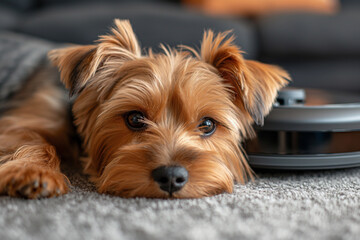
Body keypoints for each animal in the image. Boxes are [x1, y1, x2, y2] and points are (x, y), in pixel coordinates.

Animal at [0, 19, 288, 199]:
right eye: (135, 118)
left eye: (207, 124)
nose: (171, 177)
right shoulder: (21, 121)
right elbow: (36, 139)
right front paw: (34, 173)